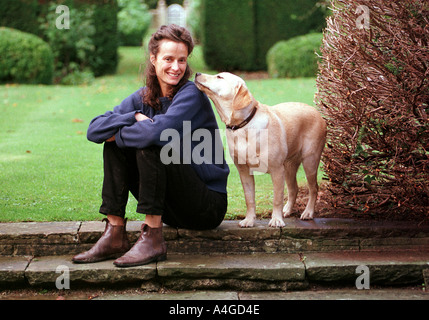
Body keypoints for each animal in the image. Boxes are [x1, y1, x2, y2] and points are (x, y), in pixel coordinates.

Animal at [196, 72, 326, 228]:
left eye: (219, 77)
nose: (197, 73)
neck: (243, 126)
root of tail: (317, 112)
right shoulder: (244, 171)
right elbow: (249, 198)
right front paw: (249, 220)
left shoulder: (277, 170)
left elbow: (277, 198)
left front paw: (276, 220)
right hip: (289, 165)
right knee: (293, 189)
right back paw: (287, 210)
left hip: (310, 161)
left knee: (314, 188)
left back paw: (308, 212)